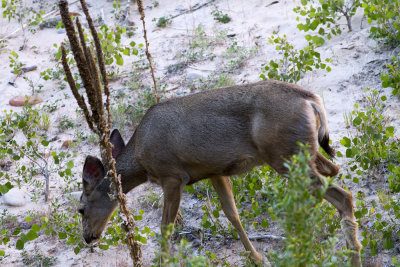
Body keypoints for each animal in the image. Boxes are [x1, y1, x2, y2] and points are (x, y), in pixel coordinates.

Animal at [79, 79, 362, 266]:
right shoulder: (215, 170)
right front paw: (256, 257)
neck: (141, 158)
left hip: (285, 157)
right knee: (333, 171)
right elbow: (232, 214)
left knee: (342, 195)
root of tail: (311, 100)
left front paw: (162, 260)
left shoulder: (172, 175)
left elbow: (165, 227)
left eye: (80, 209)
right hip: (302, 152)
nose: (87, 238)